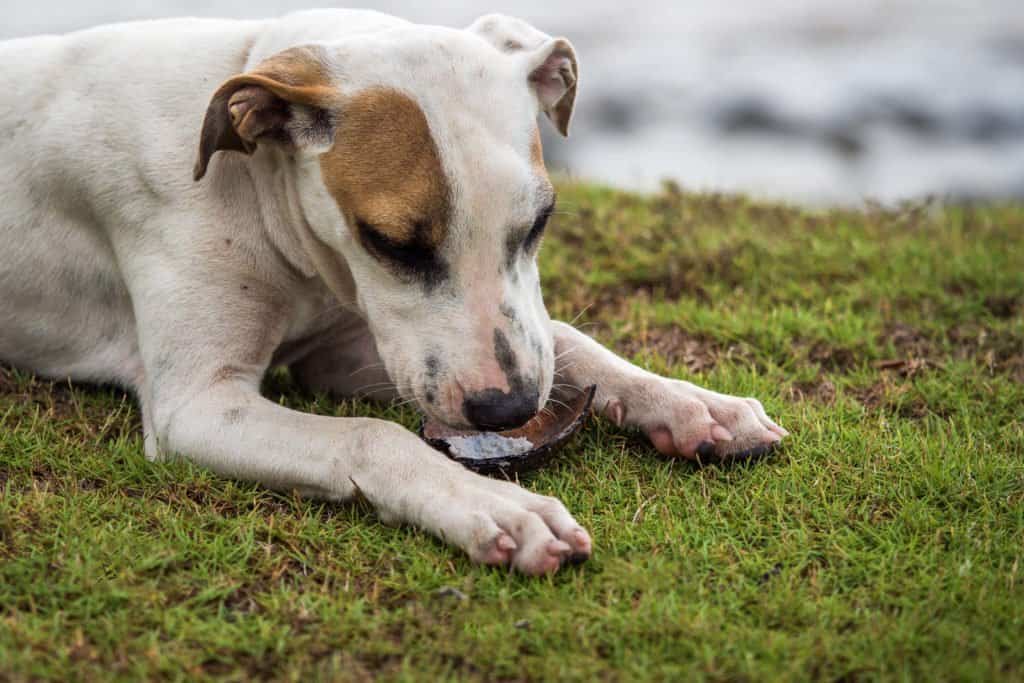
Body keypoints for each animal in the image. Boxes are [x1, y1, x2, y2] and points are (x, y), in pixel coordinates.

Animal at [0, 12, 782, 577]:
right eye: (392, 242)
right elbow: (373, 435)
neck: (258, 180)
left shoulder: (355, 346)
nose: (508, 410)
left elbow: (570, 341)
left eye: (540, 222)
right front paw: (494, 505)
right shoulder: (197, 406)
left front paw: (689, 402)